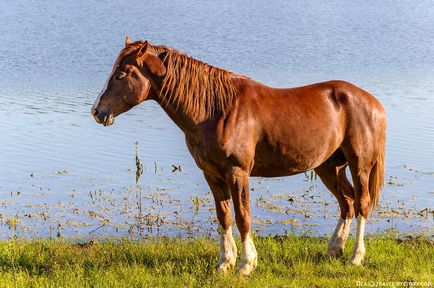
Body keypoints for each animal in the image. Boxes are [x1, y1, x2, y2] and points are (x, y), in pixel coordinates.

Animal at [91, 37, 386, 276]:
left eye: (122, 74)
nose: (97, 111)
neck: (217, 110)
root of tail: (373, 103)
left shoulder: (238, 173)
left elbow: (243, 216)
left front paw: (246, 264)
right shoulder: (212, 175)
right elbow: (224, 217)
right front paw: (225, 263)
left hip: (360, 165)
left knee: (361, 204)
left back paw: (356, 257)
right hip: (328, 167)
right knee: (347, 203)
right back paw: (334, 250)